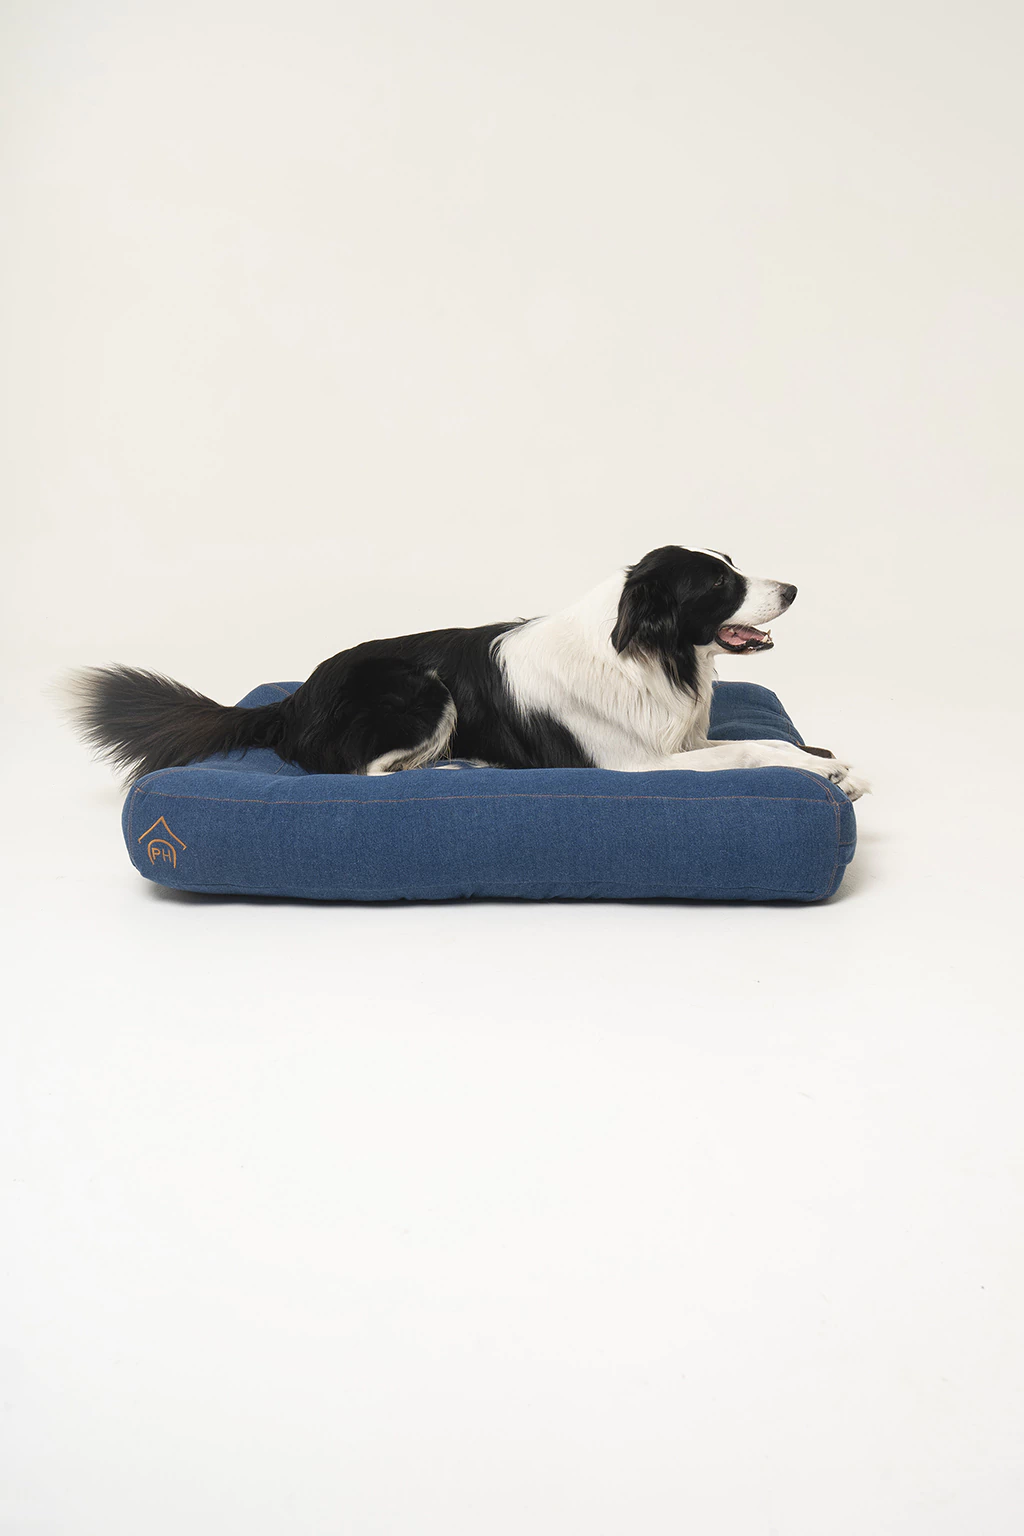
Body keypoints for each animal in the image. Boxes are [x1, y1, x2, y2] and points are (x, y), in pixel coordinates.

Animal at [66, 545, 866, 798]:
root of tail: (291, 702)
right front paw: (823, 771)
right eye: (721, 583)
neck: (647, 655)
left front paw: (827, 760)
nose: (795, 588)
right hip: (421, 686)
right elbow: (750, 750)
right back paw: (452, 768)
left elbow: (765, 739)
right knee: (363, 775)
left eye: (733, 565)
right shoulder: (635, 766)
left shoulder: (682, 740)